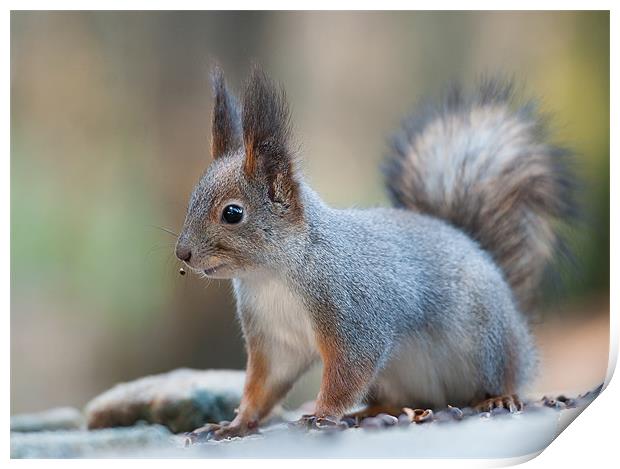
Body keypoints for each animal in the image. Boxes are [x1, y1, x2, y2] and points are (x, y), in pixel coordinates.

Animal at [173, 65, 572, 438]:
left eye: (232, 213)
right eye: (193, 198)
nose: (182, 253)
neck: (272, 275)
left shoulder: (355, 315)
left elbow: (348, 371)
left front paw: (321, 415)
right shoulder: (275, 340)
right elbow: (264, 384)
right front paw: (235, 423)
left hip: (487, 345)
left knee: (504, 375)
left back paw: (498, 397)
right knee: (406, 400)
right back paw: (371, 412)